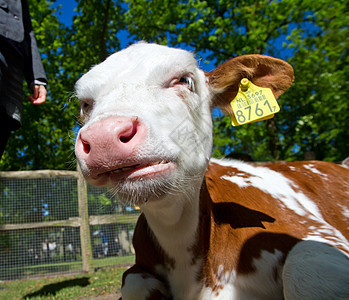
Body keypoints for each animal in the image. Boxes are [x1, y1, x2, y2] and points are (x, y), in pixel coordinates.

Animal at [74, 42, 348, 300]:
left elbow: (304, 266)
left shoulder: (315, 231)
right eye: (85, 104)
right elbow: (133, 283)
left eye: (184, 80)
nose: (103, 136)